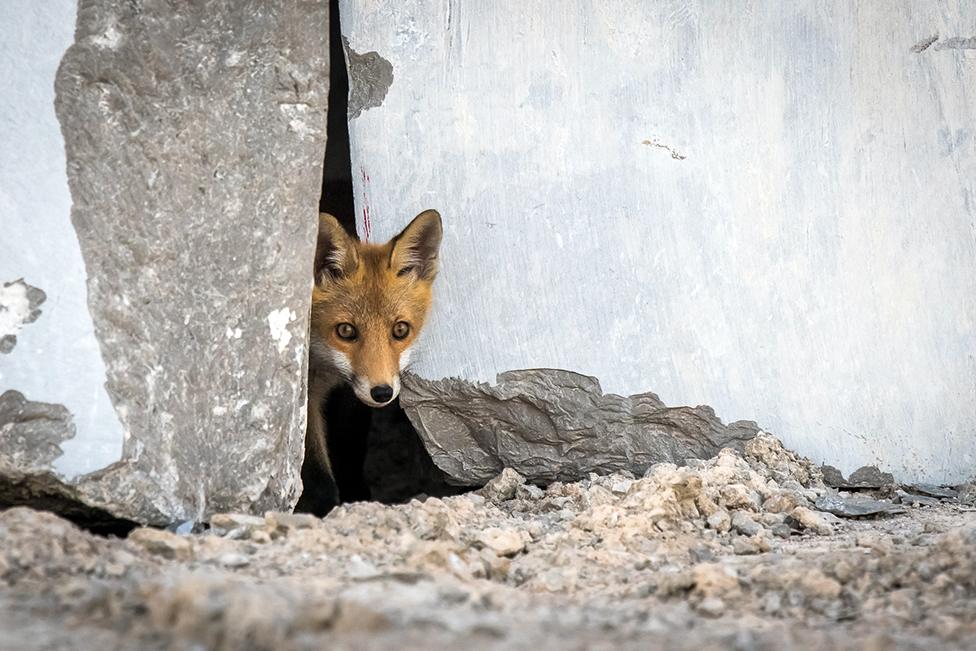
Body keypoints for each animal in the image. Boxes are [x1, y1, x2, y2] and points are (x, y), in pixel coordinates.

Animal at [296, 211, 444, 516]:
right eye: (346, 331)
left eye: (400, 330)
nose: (383, 392)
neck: (323, 367)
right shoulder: (307, 396)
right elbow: (317, 475)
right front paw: (324, 508)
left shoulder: (348, 394)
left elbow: (350, 451)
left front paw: (358, 497)